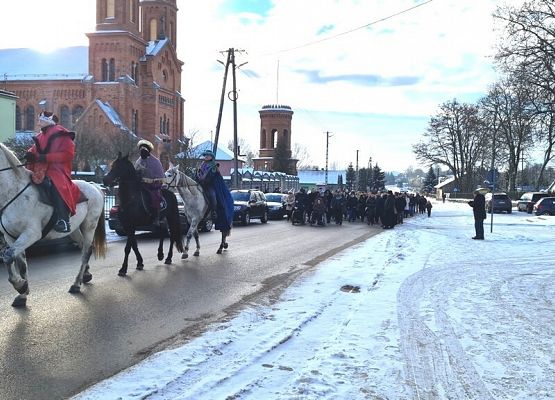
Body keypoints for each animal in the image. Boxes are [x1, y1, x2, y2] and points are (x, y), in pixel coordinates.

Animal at [0, 143, 106, 306]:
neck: (14, 193)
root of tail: (94, 186)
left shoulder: (31, 234)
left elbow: (7, 257)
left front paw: (20, 286)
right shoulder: (11, 237)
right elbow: (19, 263)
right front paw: (23, 294)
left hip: (89, 226)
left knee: (86, 251)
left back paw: (76, 284)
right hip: (74, 230)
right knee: (83, 247)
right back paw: (85, 276)